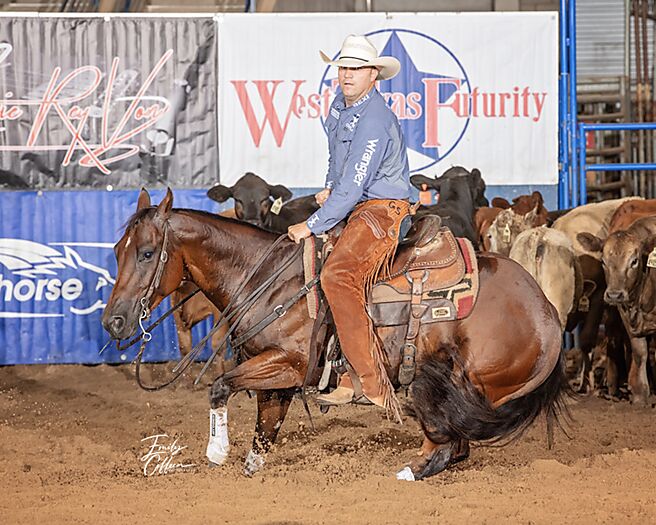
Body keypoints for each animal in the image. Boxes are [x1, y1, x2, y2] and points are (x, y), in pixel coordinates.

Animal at [102, 188, 569, 481]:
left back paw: (406, 471)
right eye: (118, 250)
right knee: (456, 447)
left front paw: (215, 452)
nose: (113, 321)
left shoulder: (288, 366)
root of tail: (548, 316)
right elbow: (262, 438)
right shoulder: (276, 381)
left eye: (148, 253)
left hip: (446, 381)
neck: (269, 280)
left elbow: (219, 386)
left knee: (448, 446)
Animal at [577, 215, 656, 405]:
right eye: (603, 261)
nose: (614, 295)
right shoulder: (626, 316)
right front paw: (641, 395)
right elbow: (639, 352)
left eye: (634, 261)